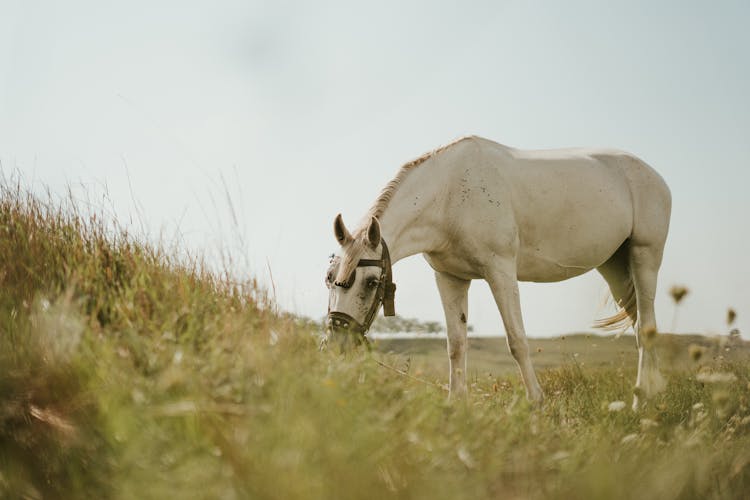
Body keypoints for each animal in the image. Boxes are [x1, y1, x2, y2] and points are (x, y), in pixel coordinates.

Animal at [326, 135, 672, 408]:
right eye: (329, 279)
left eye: (371, 282)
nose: (338, 344)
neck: (450, 195)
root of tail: (655, 177)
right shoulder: (450, 278)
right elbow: (456, 344)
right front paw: (457, 404)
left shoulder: (500, 271)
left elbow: (517, 340)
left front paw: (537, 403)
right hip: (613, 266)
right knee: (640, 326)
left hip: (645, 256)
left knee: (646, 328)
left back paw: (640, 403)